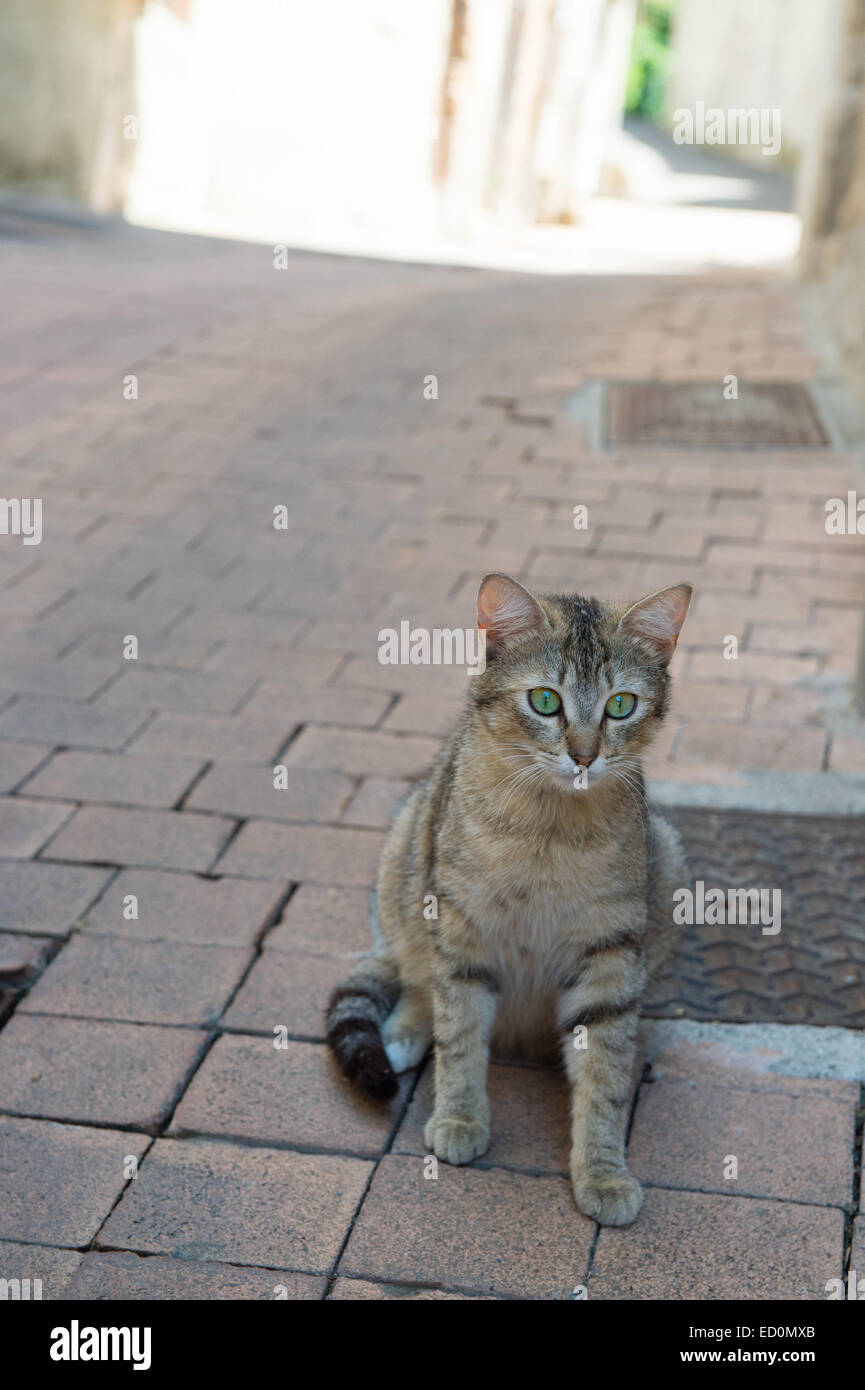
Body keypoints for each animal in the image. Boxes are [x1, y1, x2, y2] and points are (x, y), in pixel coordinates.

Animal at [328, 569, 695, 1223]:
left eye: (620, 705)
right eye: (545, 701)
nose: (584, 755)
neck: (550, 830)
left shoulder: (611, 953)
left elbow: (604, 1075)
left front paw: (603, 1170)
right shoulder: (459, 930)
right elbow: (460, 1037)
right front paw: (460, 1117)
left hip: (667, 863)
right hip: (406, 865)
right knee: (418, 981)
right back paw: (402, 1033)